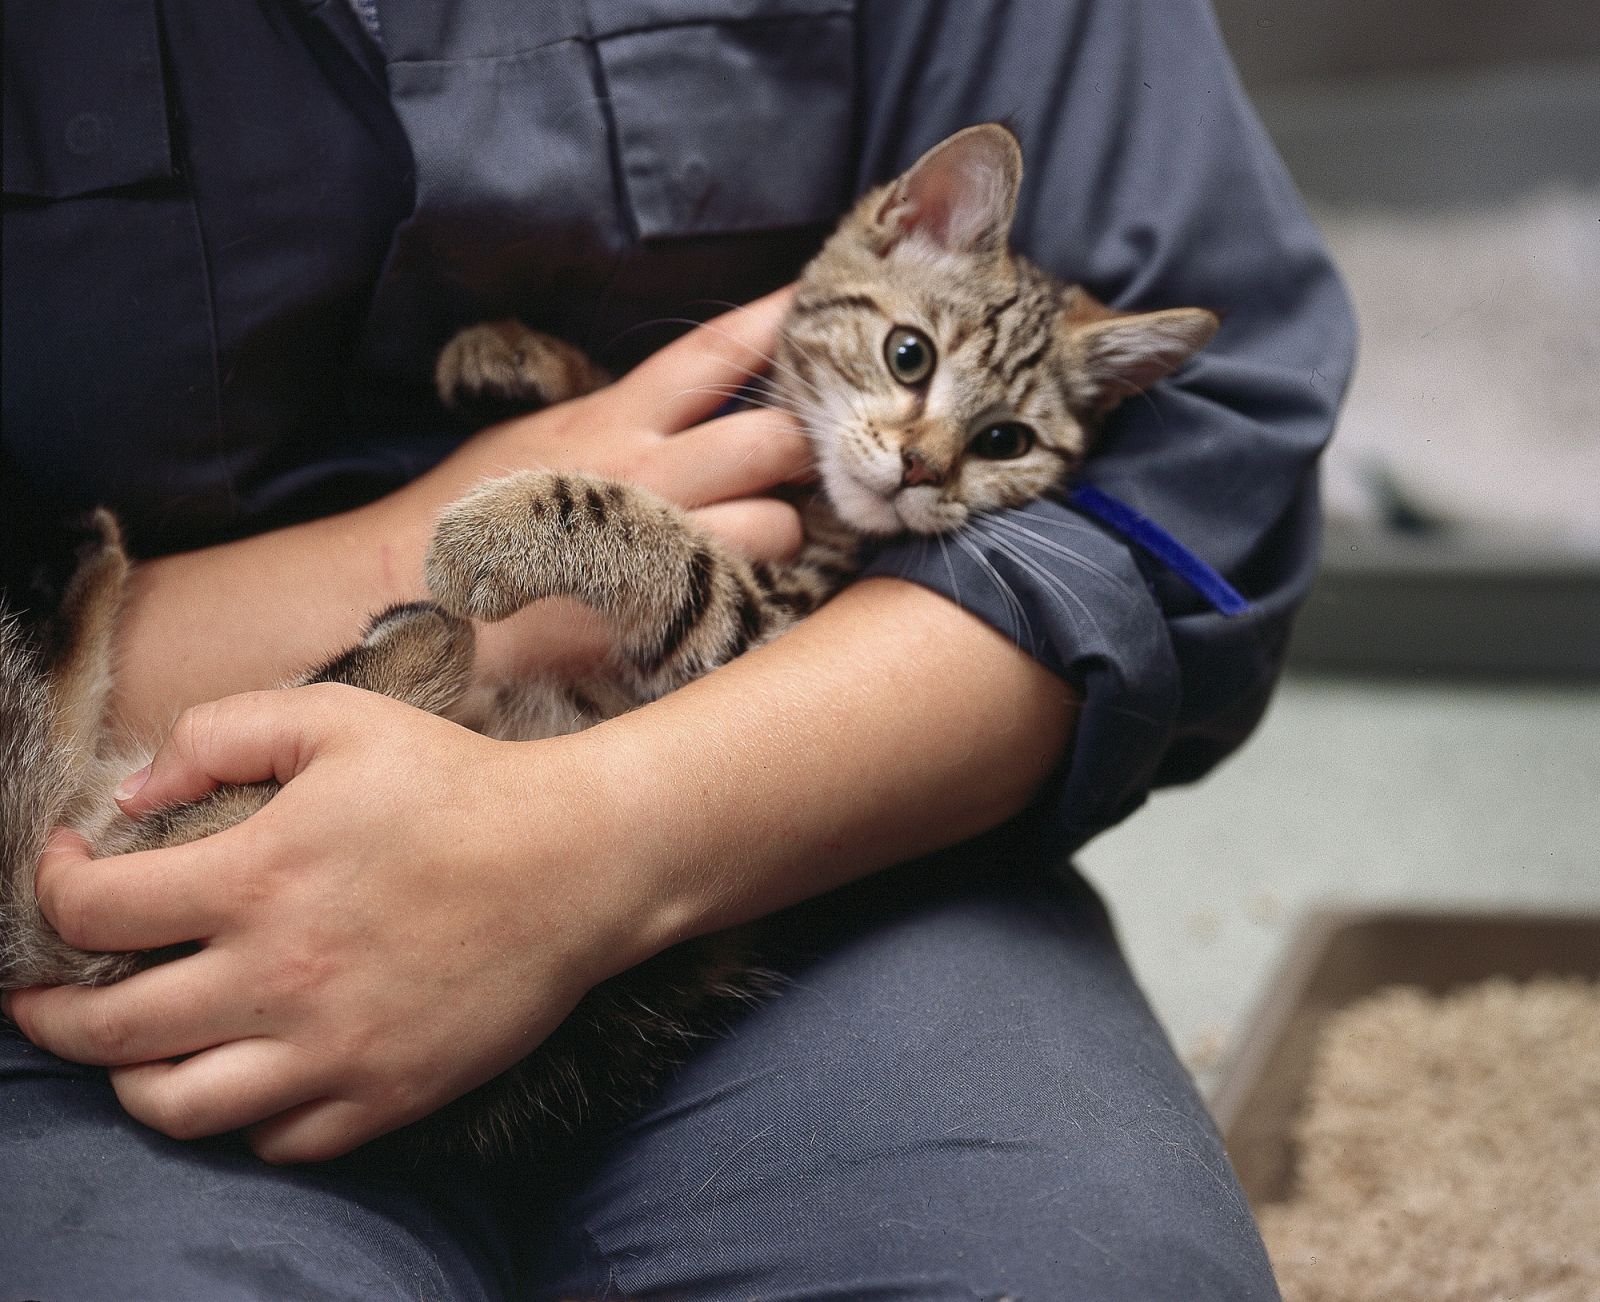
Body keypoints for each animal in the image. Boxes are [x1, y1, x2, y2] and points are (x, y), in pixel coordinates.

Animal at [0, 124, 1209, 1164]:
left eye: (1004, 442)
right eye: (907, 355)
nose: (921, 471)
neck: (819, 497)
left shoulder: (764, 620)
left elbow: (668, 545)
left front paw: (502, 529)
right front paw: (524, 362)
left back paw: (371, 628)